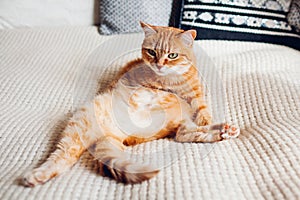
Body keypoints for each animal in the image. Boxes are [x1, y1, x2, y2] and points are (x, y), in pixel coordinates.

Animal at [22, 21, 240, 186]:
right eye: (151, 52)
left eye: (172, 55)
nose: (159, 64)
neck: (171, 82)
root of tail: (112, 134)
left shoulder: (196, 97)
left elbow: (203, 112)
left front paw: (207, 119)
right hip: (79, 125)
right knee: (63, 155)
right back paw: (37, 175)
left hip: (175, 125)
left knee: (186, 134)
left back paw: (225, 130)